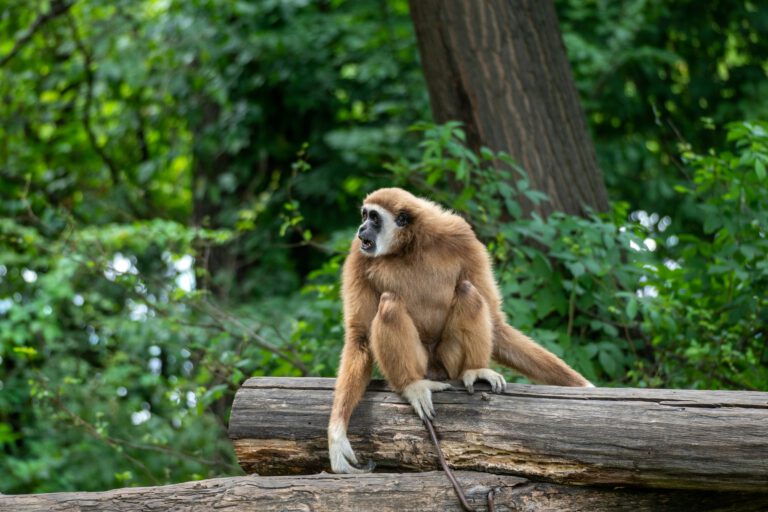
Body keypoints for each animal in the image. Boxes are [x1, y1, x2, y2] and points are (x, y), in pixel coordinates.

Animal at [328, 187, 592, 474]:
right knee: (389, 304)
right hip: (422, 363)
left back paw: (475, 371)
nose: (362, 227)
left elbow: (496, 323)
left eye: (374, 218)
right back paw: (412, 385)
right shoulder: (358, 255)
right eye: (365, 215)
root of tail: (435, 370)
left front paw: (585, 386)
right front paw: (337, 435)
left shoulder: (462, 237)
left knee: (468, 292)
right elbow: (360, 336)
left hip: (449, 362)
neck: (409, 247)